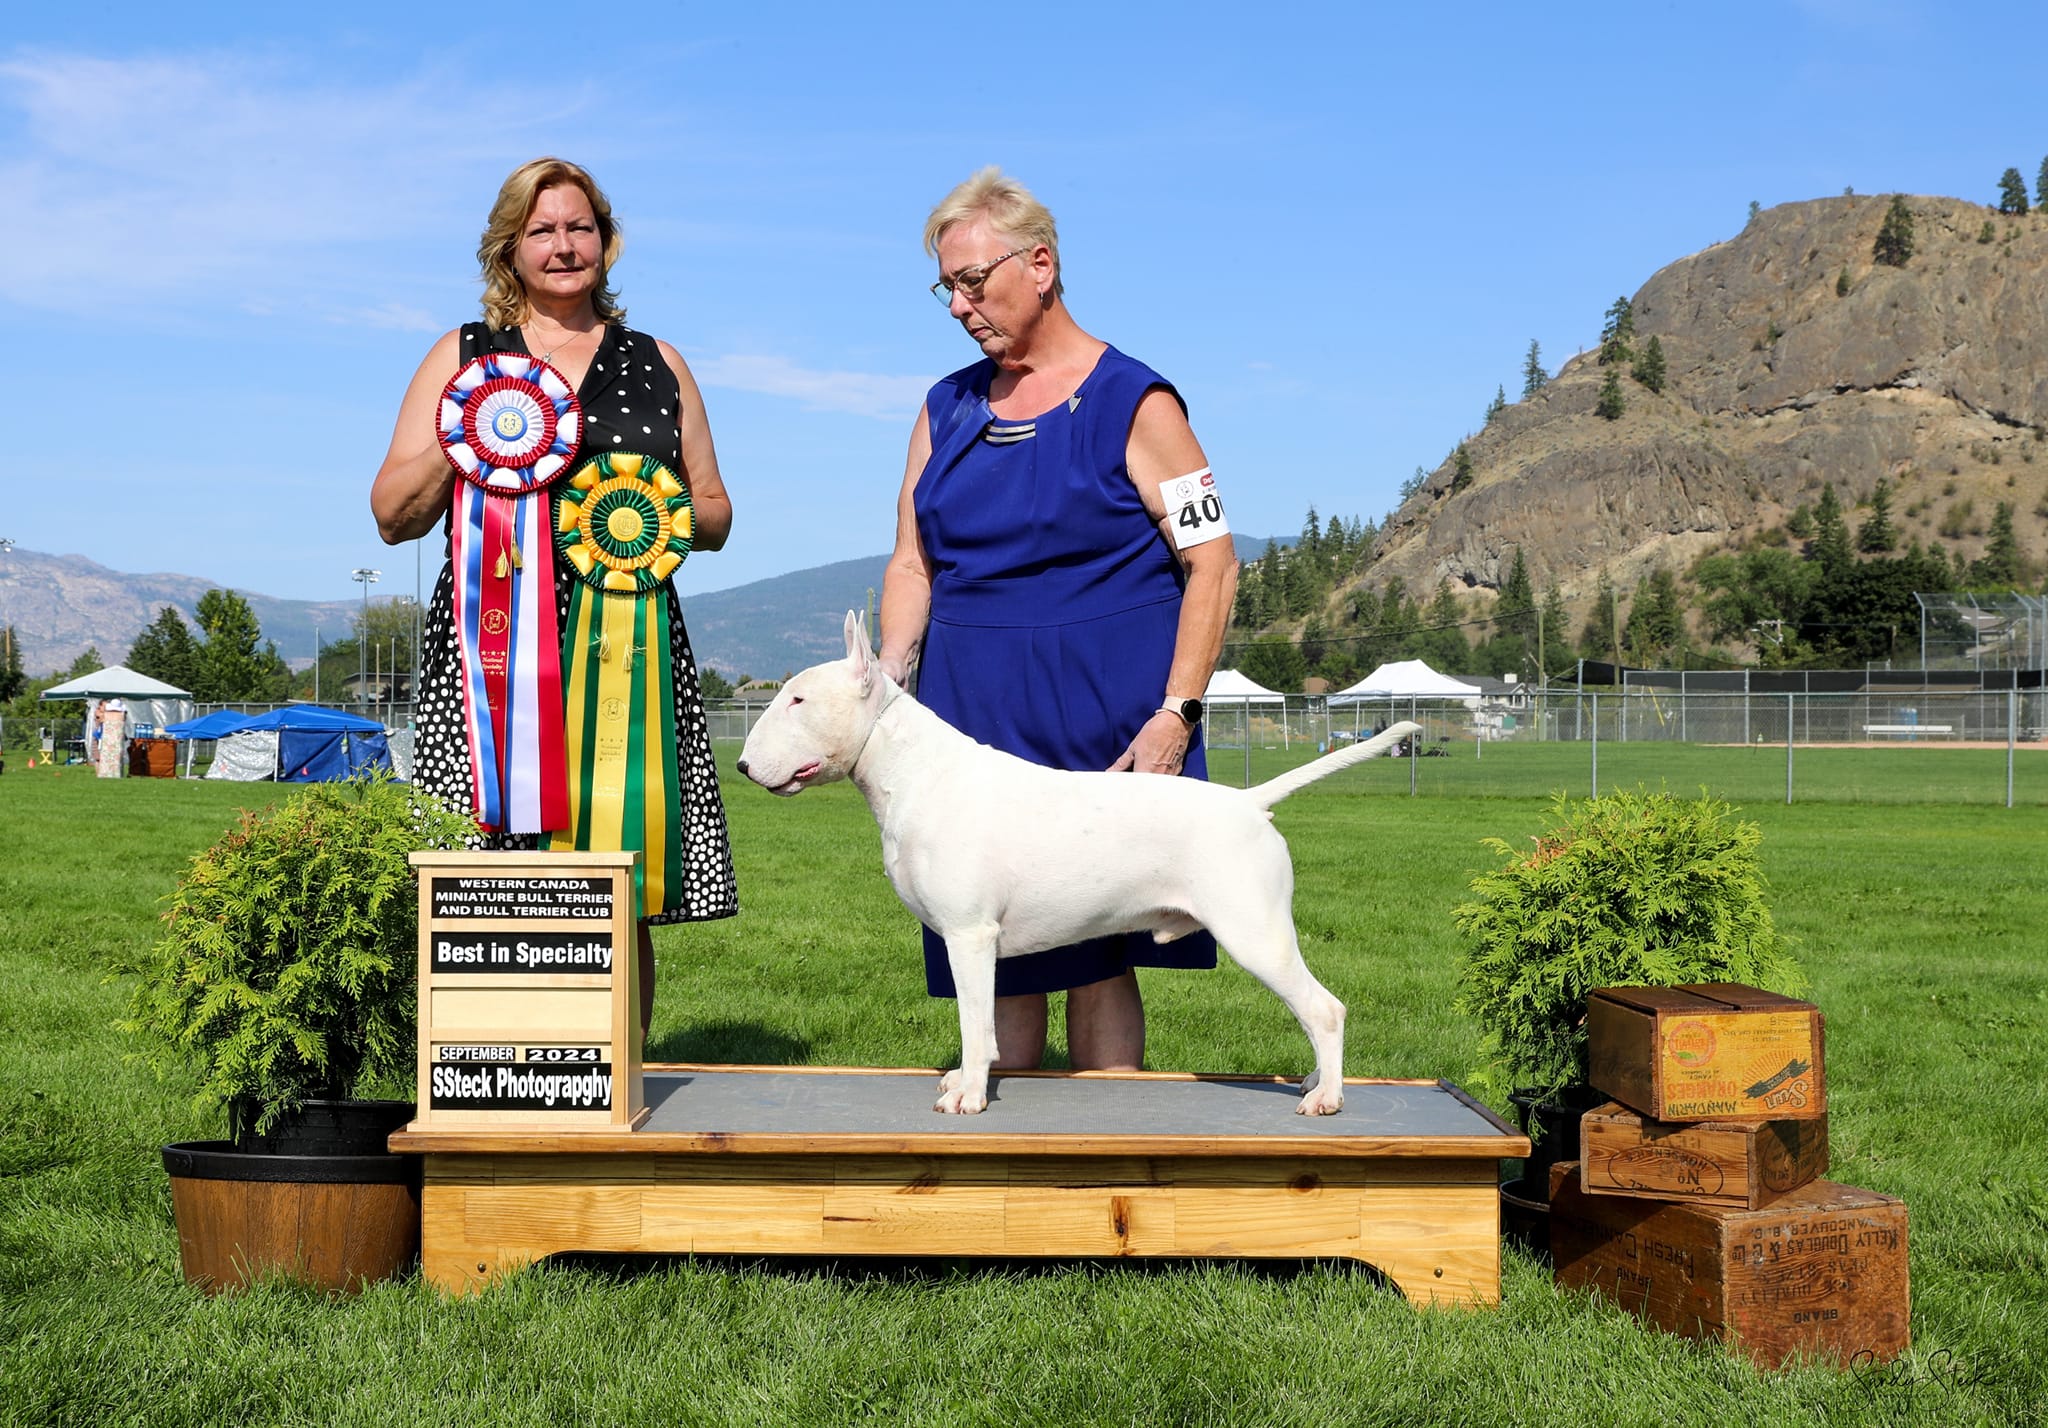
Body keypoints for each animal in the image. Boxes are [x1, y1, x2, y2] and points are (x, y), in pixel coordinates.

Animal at [737, 610, 1425, 1114]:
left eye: (797, 700)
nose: (743, 766)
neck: (913, 770)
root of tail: (1247, 801)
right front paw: (961, 1081)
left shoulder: (970, 935)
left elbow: (976, 1024)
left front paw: (968, 1095)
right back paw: (1314, 1081)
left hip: (1254, 930)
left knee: (1324, 1009)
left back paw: (1327, 1098)